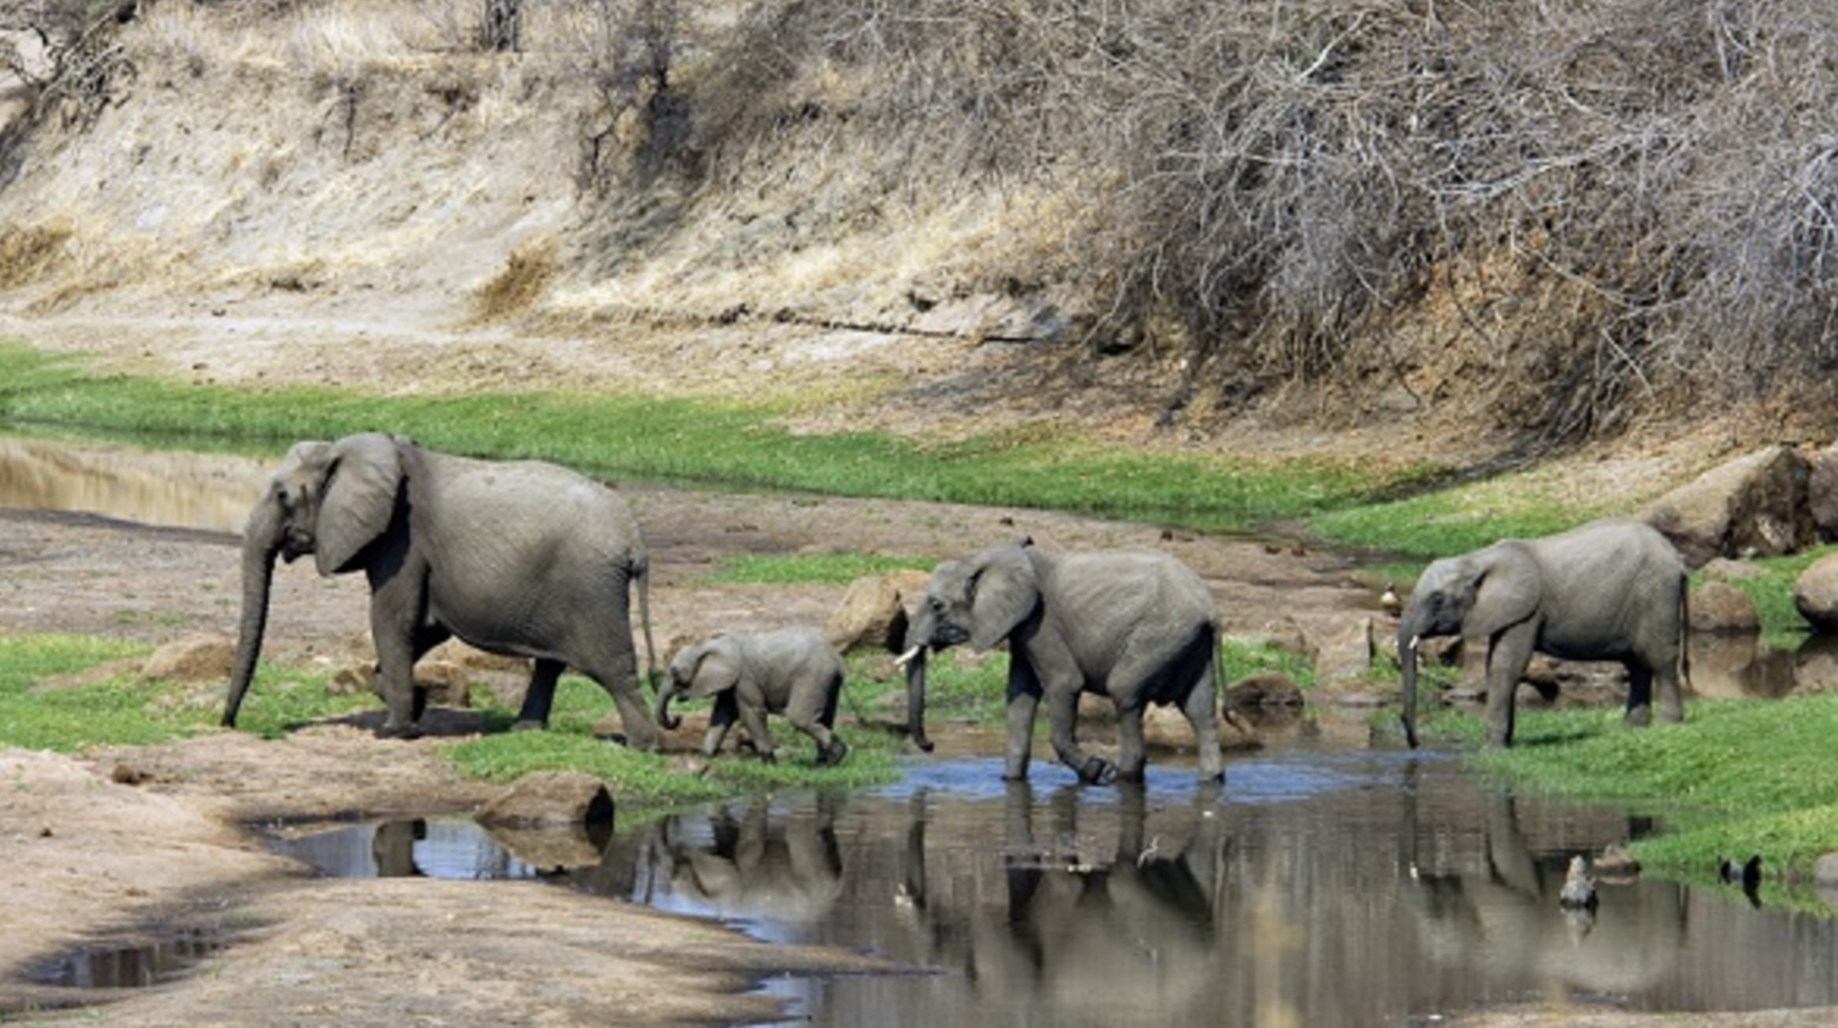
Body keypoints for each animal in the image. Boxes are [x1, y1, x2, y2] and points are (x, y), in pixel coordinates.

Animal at [220, 430, 661, 742]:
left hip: (591, 589)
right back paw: (525, 730)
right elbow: (425, 628)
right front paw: (414, 705)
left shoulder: (403, 540)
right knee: (551, 662)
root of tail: (635, 541)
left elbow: (391, 620)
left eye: (282, 496)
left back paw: (644, 745)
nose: (229, 723)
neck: (346, 451)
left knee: (612, 669)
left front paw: (394, 731)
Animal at [658, 628, 849, 765]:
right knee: (825, 717)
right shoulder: (732, 681)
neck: (708, 643)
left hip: (812, 677)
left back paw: (836, 757)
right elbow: (721, 715)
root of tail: (838, 661)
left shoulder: (744, 678)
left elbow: (751, 711)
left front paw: (768, 762)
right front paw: (707, 756)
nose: (677, 718)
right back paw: (823, 762)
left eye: (675, 673)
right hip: (825, 681)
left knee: (799, 718)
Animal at [900, 540, 1227, 787]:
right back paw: (1211, 780)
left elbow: (1064, 684)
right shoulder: (1023, 629)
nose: (930, 746)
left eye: (937, 605)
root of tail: (1211, 609)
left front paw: (1097, 771)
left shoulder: (1041, 624)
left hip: (1159, 636)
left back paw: (1120, 778)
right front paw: (1010, 780)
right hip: (1188, 642)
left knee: (1125, 691)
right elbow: (1019, 695)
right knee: (1200, 709)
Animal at [1396, 522, 1683, 746]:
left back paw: (1668, 726)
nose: (1415, 742)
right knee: (1638, 664)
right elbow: (1495, 665)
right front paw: (1505, 743)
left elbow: (1506, 665)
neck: (1477, 560)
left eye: (1437, 599)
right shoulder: (1507, 612)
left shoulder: (1527, 610)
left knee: (1659, 658)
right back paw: (1630, 730)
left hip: (1658, 594)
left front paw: (1492, 748)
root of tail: (1677, 557)